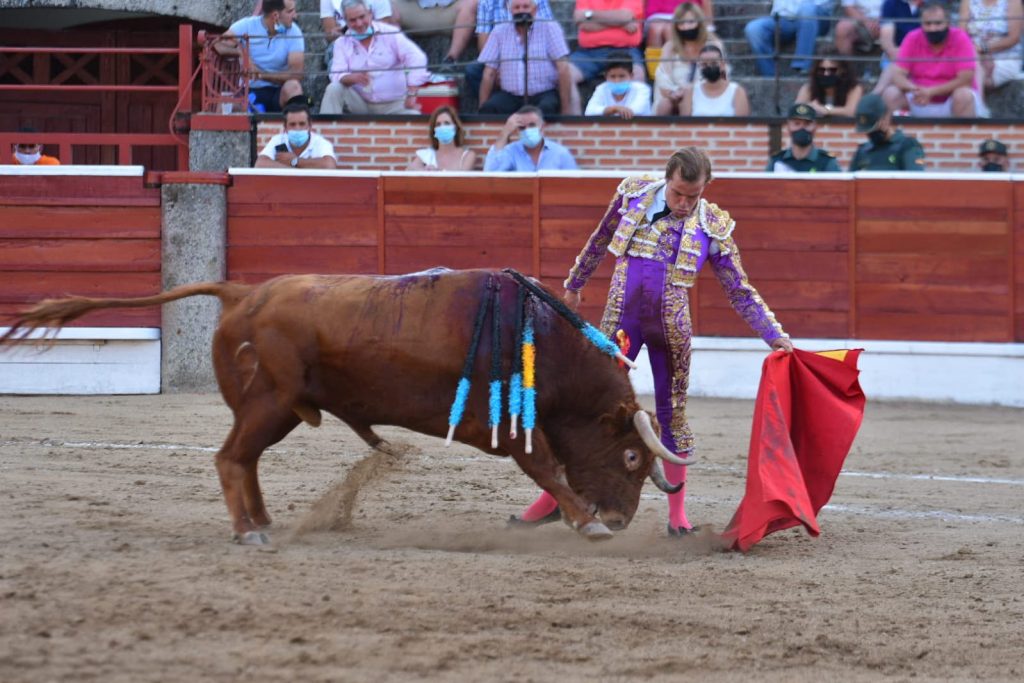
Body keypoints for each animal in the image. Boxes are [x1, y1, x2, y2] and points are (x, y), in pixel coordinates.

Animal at [2, 268, 696, 544]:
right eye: (631, 457)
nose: (623, 519)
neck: (542, 340)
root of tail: (243, 293)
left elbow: (548, 468)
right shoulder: (505, 427)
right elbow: (547, 467)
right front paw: (587, 524)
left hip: (277, 409)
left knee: (245, 459)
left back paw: (263, 521)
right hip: (272, 402)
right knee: (231, 458)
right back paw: (248, 531)